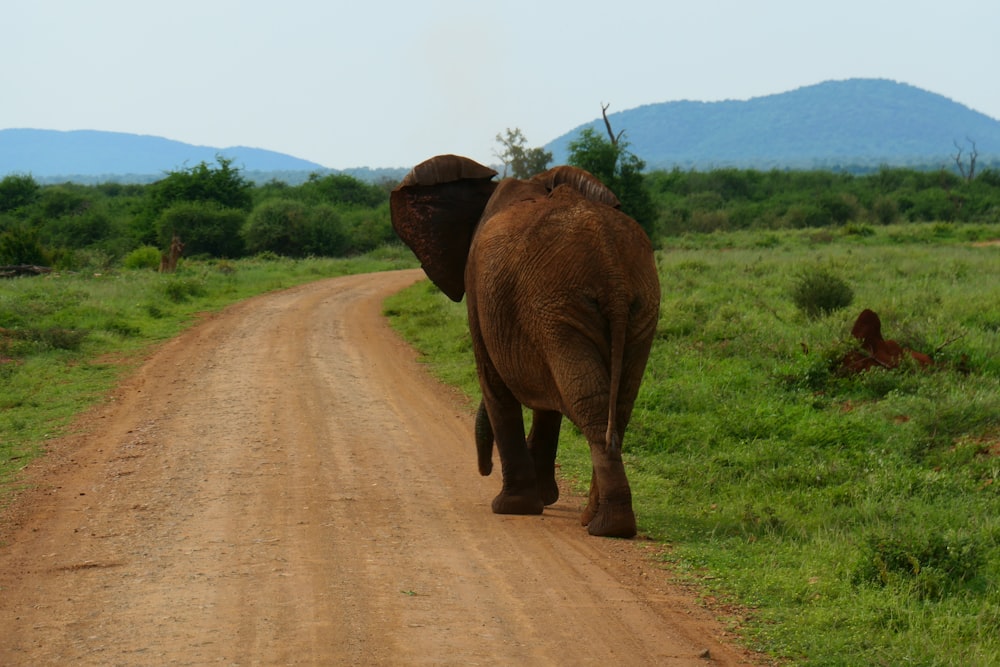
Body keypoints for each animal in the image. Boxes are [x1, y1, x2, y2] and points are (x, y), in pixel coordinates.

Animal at [392, 155, 664, 536]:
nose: (483, 470)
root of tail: (610, 266)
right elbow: (548, 399)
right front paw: (543, 500)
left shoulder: (480, 289)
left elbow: (495, 383)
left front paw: (512, 507)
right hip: (631, 307)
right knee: (617, 405)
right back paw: (598, 521)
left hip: (561, 304)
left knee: (591, 404)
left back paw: (606, 526)